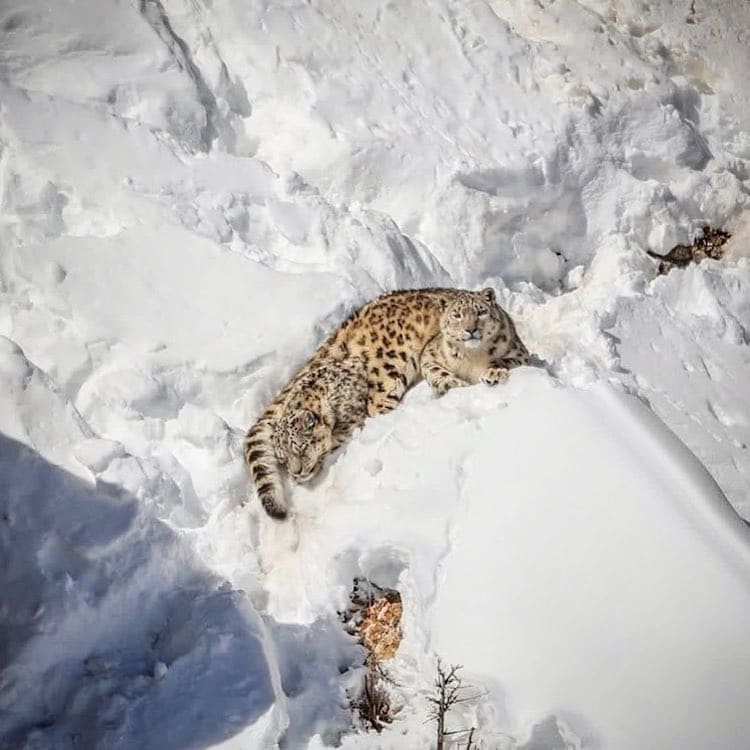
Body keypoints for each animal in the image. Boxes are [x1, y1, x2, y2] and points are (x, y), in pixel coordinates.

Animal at [245, 284, 528, 520]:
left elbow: (506, 360)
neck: (474, 357)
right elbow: (441, 375)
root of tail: (352, 319)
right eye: (457, 316)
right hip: (388, 372)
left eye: (481, 312)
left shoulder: (519, 353)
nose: (471, 329)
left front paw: (492, 374)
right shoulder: (431, 357)